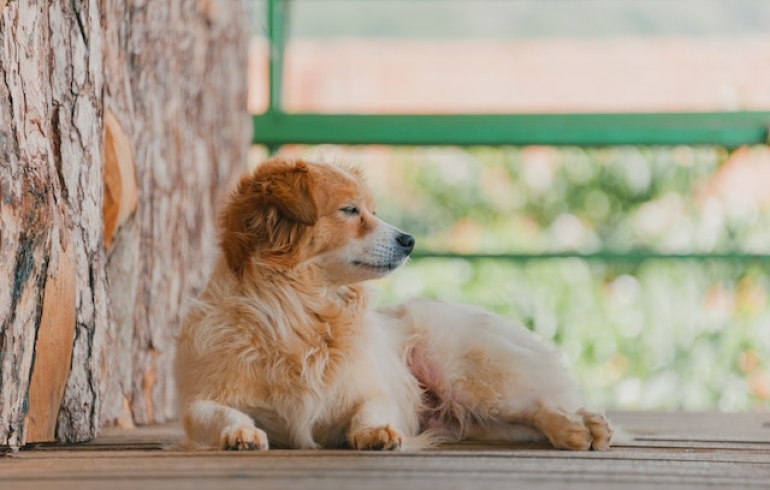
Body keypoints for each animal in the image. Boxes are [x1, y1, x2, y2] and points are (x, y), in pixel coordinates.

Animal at [174, 158, 612, 452]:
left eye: (372, 210)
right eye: (350, 210)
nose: (410, 240)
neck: (300, 311)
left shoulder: (372, 391)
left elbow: (370, 410)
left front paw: (374, 433)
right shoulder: (199, 403)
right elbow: (218, 414)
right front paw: (240, 432)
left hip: (469, 379)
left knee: (537, 402)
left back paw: (579, 427)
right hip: (480, 419)